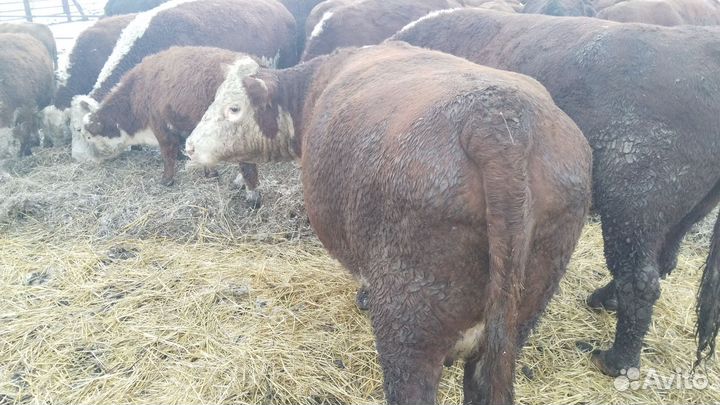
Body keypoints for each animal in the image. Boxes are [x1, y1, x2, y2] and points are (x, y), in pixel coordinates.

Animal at [72, 47, 262, 207]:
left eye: (86, 135)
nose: (78, 158)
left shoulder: (161, 128)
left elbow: (168, 154)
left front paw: (167, 180)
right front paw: (209, 173)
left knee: (248, 165)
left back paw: (252, 197)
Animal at [394, 8, 720, 377]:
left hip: (634, 209)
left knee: (640, 280)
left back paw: (616, 361)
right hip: (683, 215)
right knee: (662, 262)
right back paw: (603, 301)